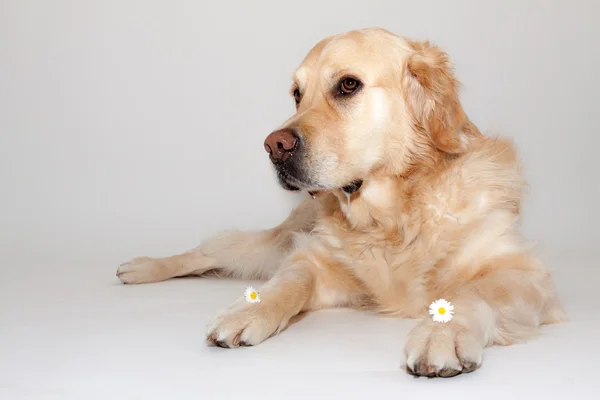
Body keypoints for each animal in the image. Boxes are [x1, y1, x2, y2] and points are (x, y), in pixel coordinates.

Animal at [116, 28, 564, 378]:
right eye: (297, 94)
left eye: (348, 85)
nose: (274, 146)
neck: (393, 218)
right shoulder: (313, 259)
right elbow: (288, 282)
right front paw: (247, 312)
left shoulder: (526, 275)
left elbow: (472, 293)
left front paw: (443, 333)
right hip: (276, 241)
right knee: (207, 252)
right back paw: (142, 267)